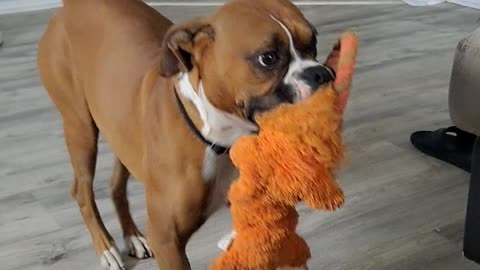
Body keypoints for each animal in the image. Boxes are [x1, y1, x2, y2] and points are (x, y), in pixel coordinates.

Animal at [37, 0, 336, 268]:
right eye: (268, 58)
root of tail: (70, 7)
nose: (322, 73)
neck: (221, 138)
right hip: (81, 129)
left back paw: (132, 236)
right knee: (82, 191)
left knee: (116, 184)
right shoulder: (167, 240)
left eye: (313, 42)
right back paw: (107, 248)